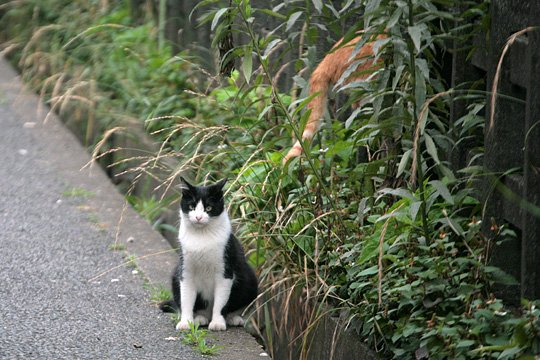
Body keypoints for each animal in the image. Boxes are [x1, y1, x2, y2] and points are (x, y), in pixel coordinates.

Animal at [159, 178, 258, 332]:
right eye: (192, 206)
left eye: (209, 208)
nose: (198, 217)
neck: (202, 236)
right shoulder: (186, 270)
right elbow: (186, 299)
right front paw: (186, 322)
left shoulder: (225, 272)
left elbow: (221, 302)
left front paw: (218, 323)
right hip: (175, 275)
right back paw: (200, 318)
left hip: (250, 278)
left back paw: (233, 318)